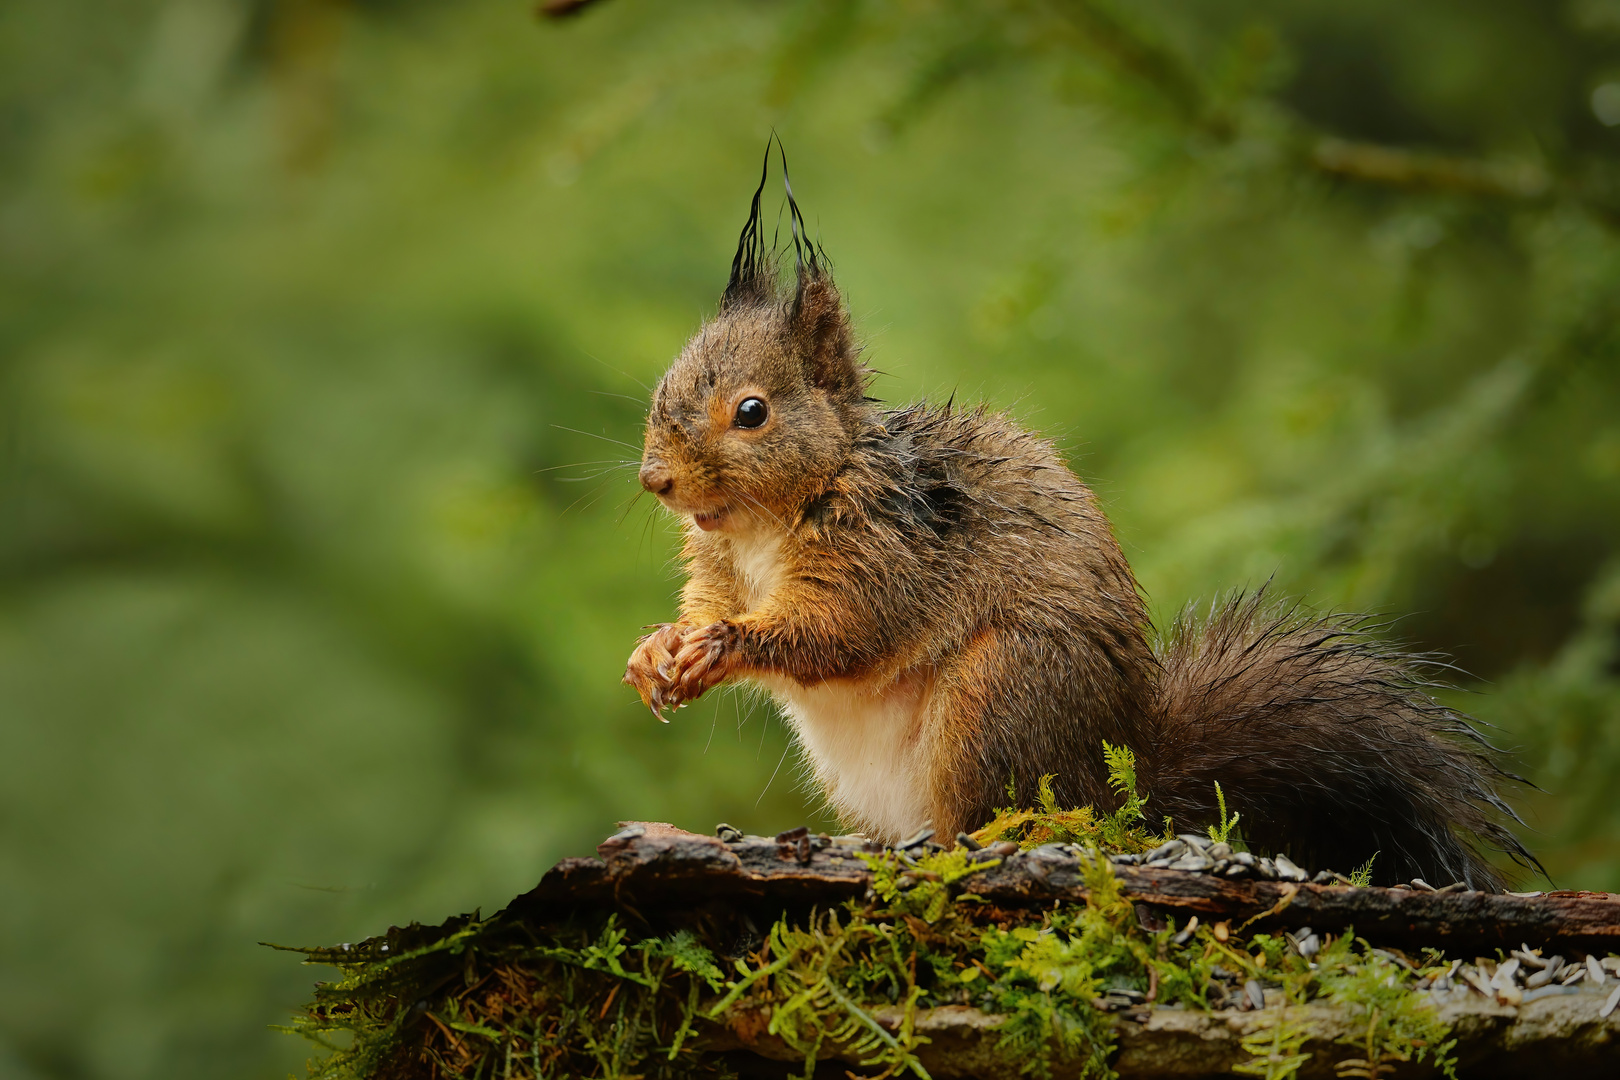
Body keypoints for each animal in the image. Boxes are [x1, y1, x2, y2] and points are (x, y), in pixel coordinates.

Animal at [615, 153, 1529, 893]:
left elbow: (839, 628)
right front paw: (659, 650)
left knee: (999, 812)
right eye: (664, 387)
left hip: (999, 694)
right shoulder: (720, 562)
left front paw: (724, 644)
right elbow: (710, 603)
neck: (763, 522)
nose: (655, 480)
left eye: (753, 412)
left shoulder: (885, 550)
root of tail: (1113, 778)